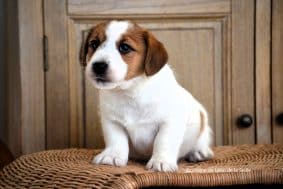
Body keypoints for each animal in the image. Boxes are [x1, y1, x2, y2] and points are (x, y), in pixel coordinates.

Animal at [79, 19, 213, 172]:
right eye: (94, 44)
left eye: (125, 47)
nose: (98, 65)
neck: (130, 91)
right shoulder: (112, 122)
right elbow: (116, 140)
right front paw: (112, 156)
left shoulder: (170, 122)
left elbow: (163, 141)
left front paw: (161, 161)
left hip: (203, 123)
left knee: (201, 140)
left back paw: (199, 152)